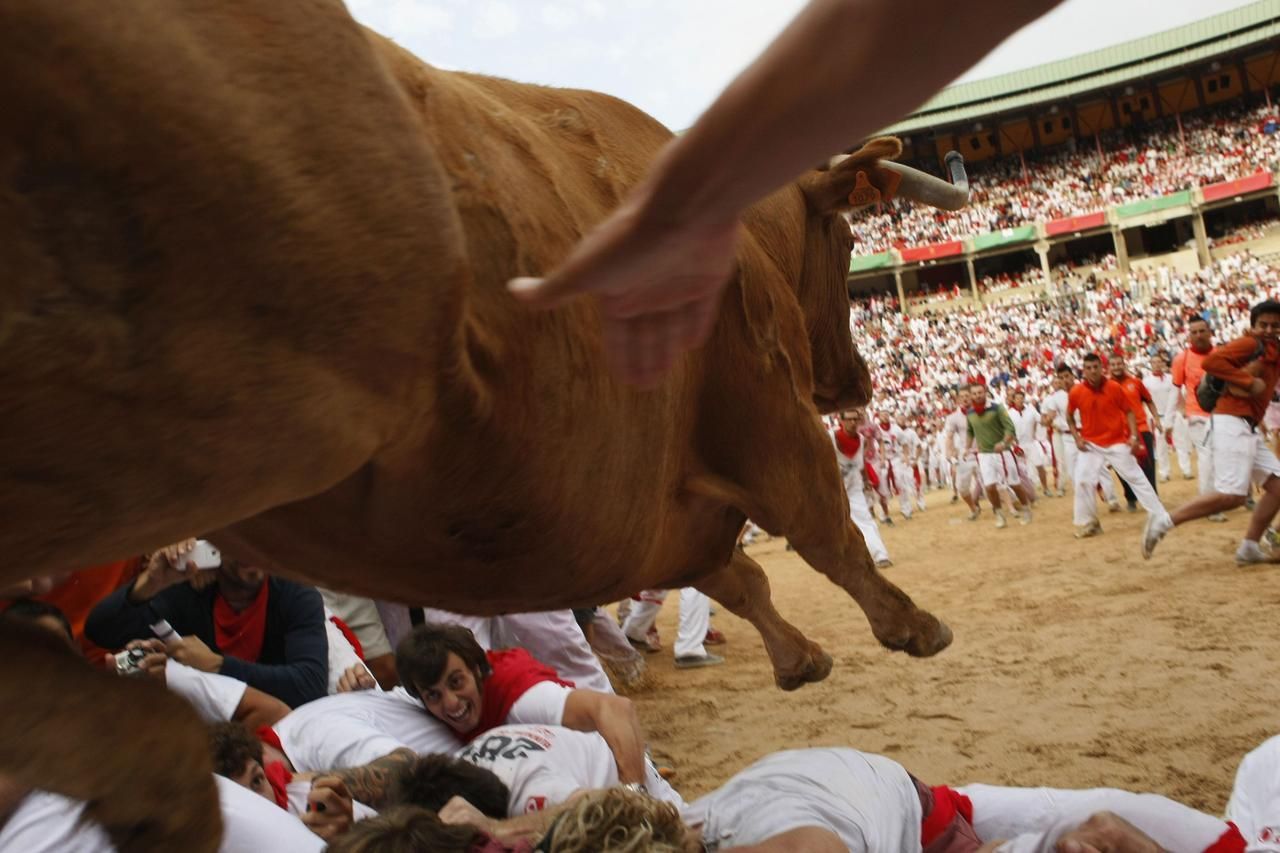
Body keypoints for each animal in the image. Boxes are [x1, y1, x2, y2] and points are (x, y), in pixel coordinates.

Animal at [2, 3, 952, 845]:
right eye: (845, 236)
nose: (856, 380)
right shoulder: (763, 408)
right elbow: (821, 528)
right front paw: (907, 625)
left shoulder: (648, 505)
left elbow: (737, 574)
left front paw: (796, 656)